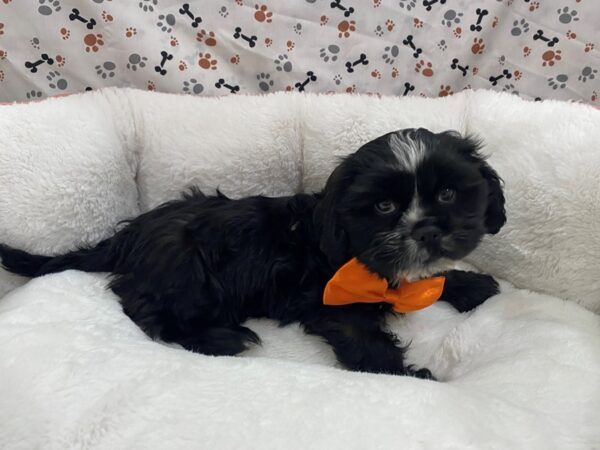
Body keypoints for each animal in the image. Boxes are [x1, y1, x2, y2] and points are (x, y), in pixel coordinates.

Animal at [0, 128, 504, 378]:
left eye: (448, 194)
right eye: (383, 207)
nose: (428, 231)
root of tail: (129, 236)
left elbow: (434, 279)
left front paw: (472, 285)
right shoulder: (328, 301)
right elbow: (365, 341)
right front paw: (408, 376)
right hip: (187, 268)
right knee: (146, 310)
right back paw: (222, 339)